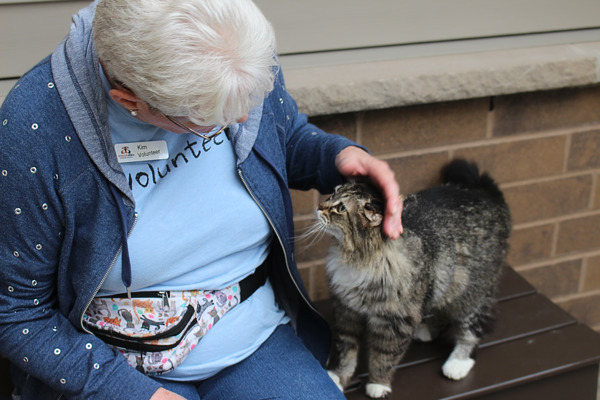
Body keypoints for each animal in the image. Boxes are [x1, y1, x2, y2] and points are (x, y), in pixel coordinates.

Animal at [318, 159, 510, 396]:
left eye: (341, 208)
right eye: (332, 195)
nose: (319, 207)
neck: (358, 258)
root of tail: (483, 192)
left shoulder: (395, 322)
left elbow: (384, 357)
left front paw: (378, 385)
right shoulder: (347, 311)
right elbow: (346, 352)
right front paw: (338, 377)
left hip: (470, 294)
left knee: (471, 330)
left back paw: (457, 363)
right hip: (445, 283)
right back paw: (428, 330)